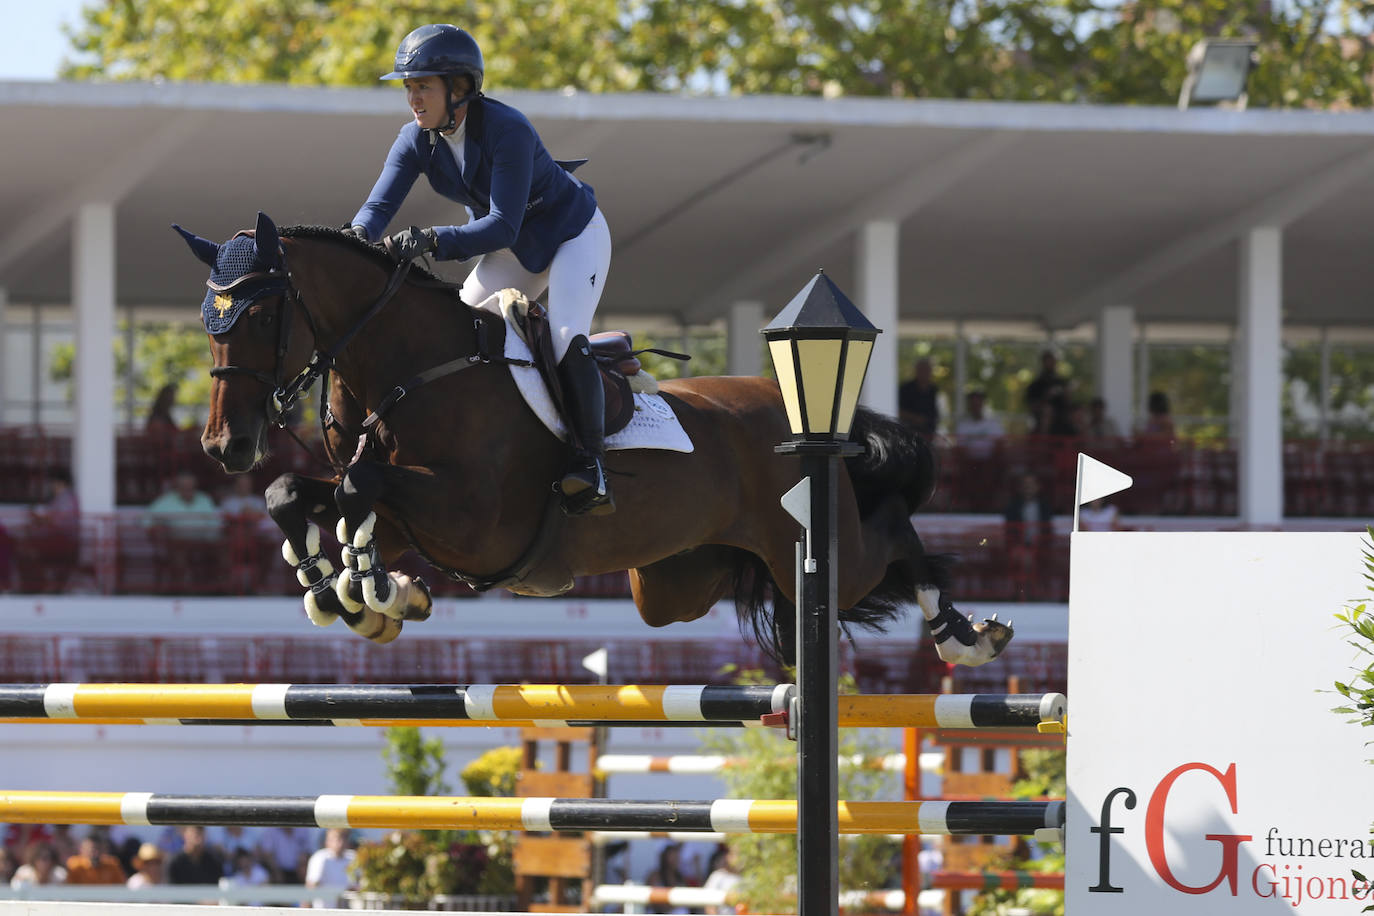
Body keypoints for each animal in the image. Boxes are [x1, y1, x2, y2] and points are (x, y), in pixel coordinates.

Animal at [174, 215, 1011, 670]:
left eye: (257, 316)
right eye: (207, 321)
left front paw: (372, 589)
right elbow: (298, 492)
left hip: (807, 545)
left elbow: (358, 489)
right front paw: (349, 589)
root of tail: (793, 411)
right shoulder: (419, 519)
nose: (223, 447)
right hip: (678, 582)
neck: (413, 369)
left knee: (891, 537)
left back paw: (964, 634)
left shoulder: (473, 521)